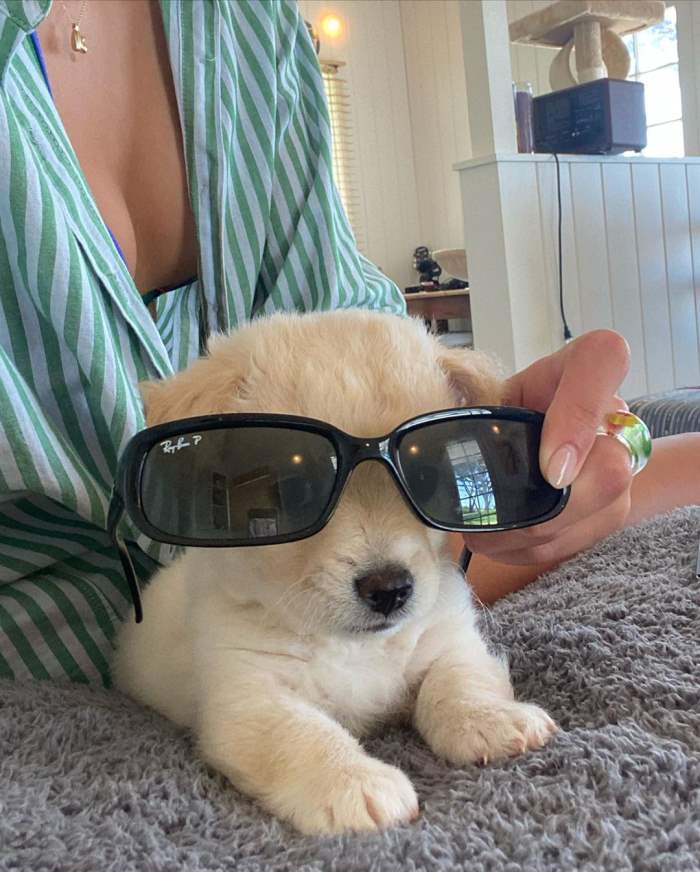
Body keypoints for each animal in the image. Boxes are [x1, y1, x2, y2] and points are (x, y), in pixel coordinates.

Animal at [112, 309, 557, 834]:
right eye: (298, 490)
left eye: (427, 480)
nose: (389, 589)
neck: (352, 645)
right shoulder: (248, 699)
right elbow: (302, 734)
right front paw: (352, 783)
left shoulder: (449, 643)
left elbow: (457, 683)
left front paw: (492, 720)